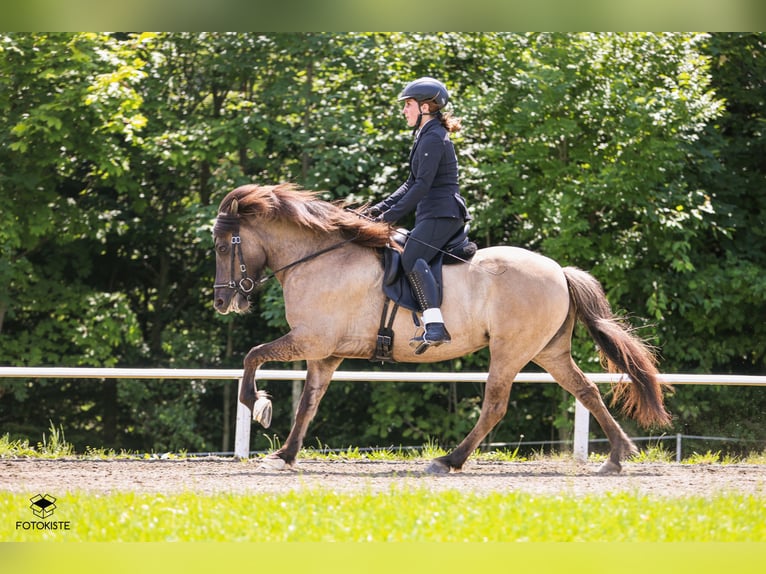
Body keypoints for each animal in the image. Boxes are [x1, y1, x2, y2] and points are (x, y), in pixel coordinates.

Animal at [212, 183, 672, 474]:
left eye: (221, 246)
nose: (221, 302)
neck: (319, 257)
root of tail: (559, 271)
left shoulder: (311, 339)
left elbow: (252, 356)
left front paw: (258, 404)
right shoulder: (326, 353)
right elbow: (308, 402)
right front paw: (285, 454)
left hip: (511, 351)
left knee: (495, 405)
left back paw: (449, 460)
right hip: (549, 351)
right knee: (587, 390)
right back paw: (617, 455)